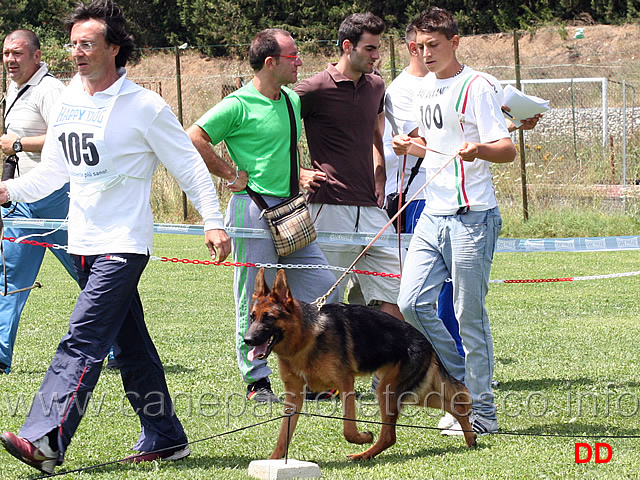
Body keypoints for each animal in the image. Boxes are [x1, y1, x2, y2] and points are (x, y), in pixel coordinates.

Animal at [245, 268, 476, 460]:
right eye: (252, 317)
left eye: (268, 318)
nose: (247, 340)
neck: (305, 338)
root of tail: (426, 342)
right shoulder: (294, 395)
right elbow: (284, 434)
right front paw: (273, 461)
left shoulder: (345, 383)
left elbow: (348, 428)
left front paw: (363, 437)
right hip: (414, 393)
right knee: (455, 404)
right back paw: (470, 438)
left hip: (388, 391)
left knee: (390, 436)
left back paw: (363, 454)